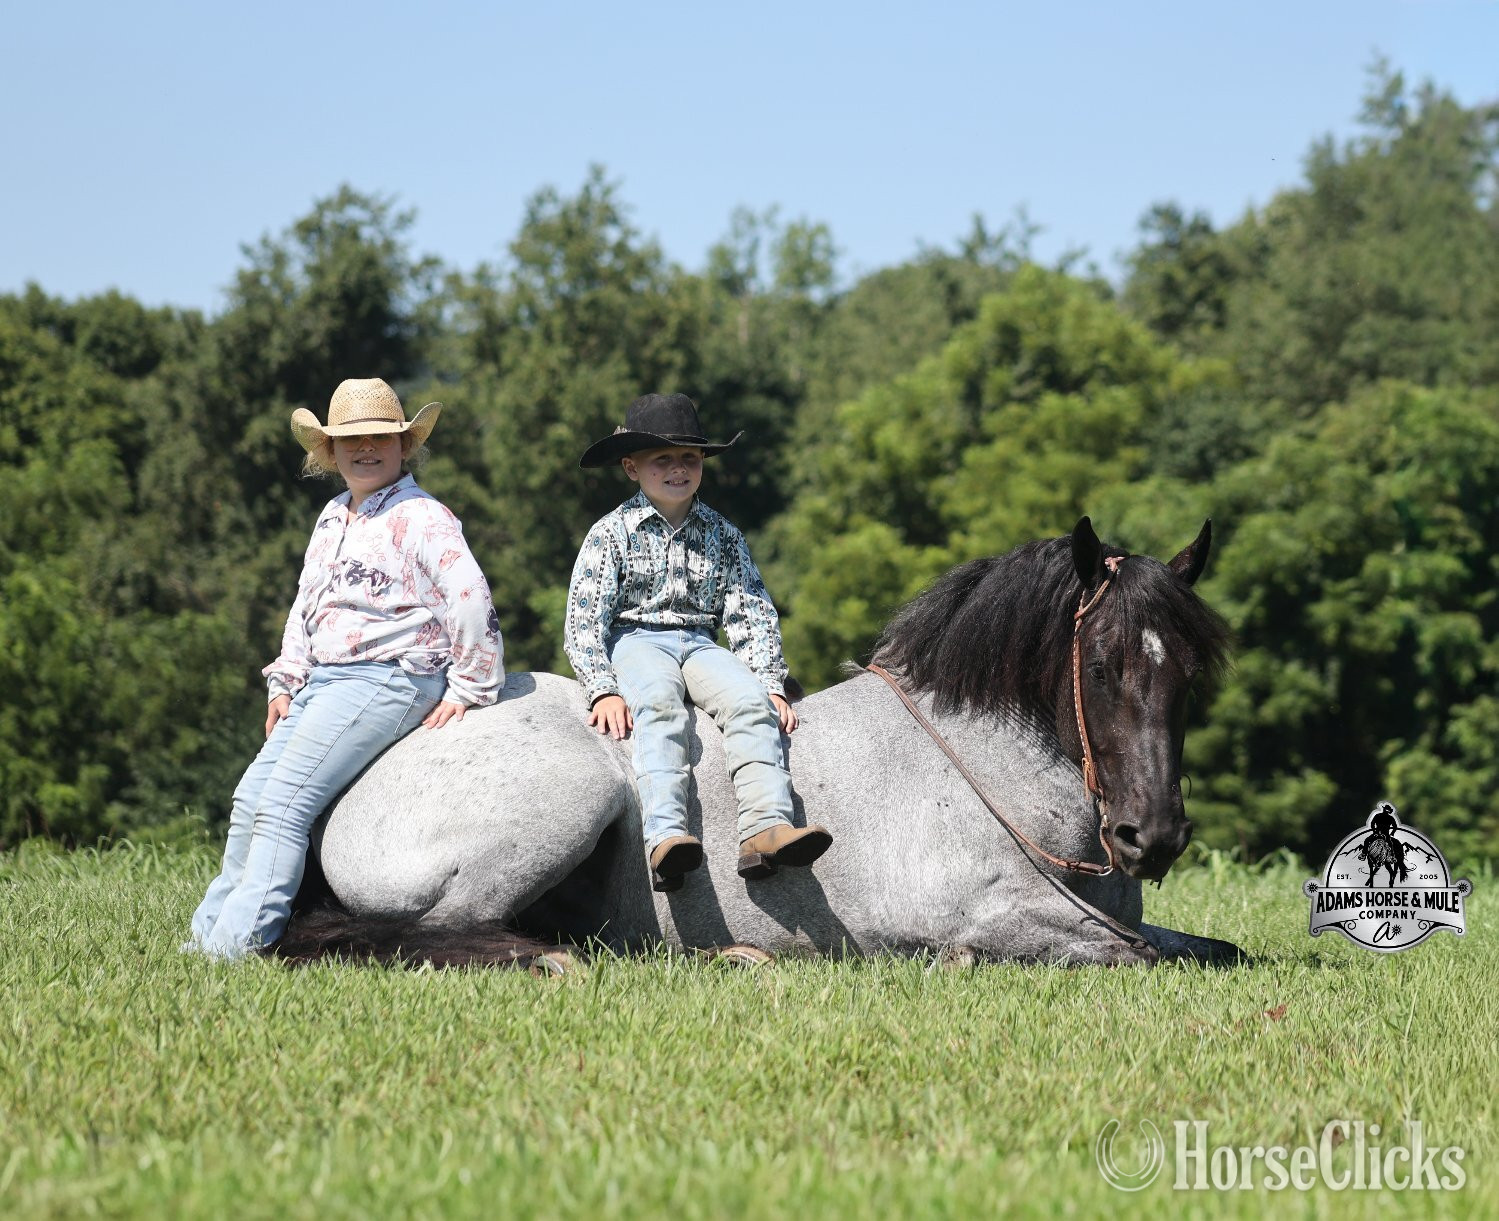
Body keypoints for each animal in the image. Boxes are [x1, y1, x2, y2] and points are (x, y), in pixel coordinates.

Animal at [278, 517, 1242, 969]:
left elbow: (1208, 948)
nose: (1152, 837)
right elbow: (1138, 955)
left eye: (1191, 674)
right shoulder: (1002, 914)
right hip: (558, 810)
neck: (980, 767)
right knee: (433, 932)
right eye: (1103, 665)